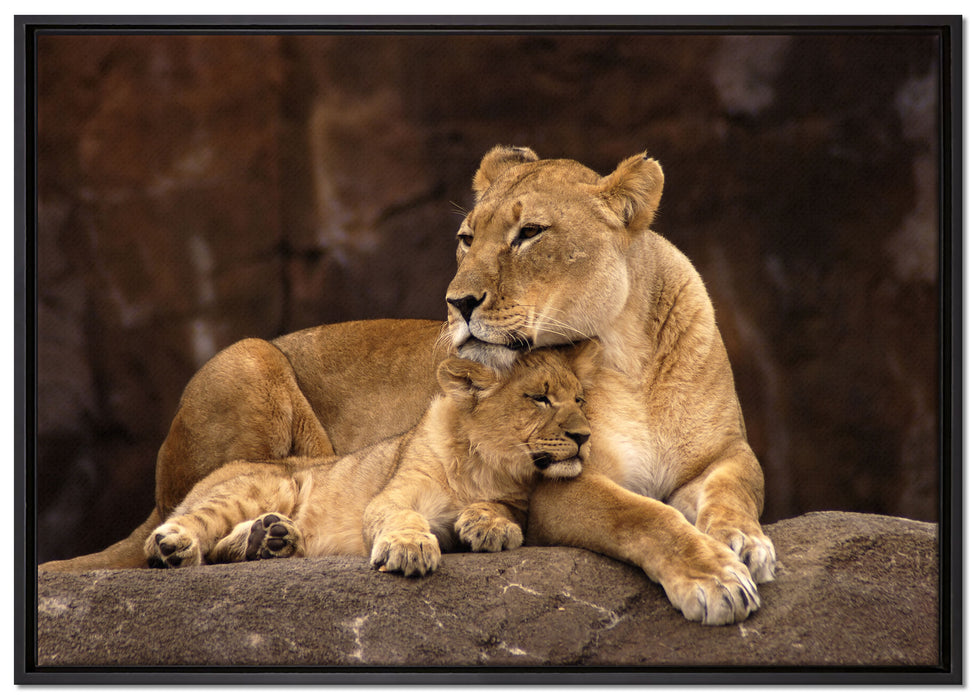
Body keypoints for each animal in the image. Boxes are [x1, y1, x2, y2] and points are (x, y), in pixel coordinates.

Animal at [144, 345, 597, 576]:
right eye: (539, 398)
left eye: (579, 400)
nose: (584, 436)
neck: (484, 465)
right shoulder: (392, 495)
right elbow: (402, 517)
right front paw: (409, 549)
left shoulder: (518, 500)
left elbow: (502, 508)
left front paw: (489, 526)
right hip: (267, 483)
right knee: (191, 528)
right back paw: (174, 547)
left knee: (222, 546)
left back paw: (271, 538)